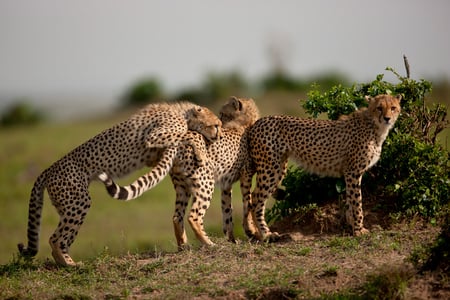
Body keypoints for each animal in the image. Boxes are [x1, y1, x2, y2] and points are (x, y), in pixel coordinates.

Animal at [17, 102, 221, 266]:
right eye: (215, 125)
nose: (217, 136)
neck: (181, 111)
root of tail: (48, 169)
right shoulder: (155, 136)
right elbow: (187, 133)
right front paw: (200, 152)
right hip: (78, 203)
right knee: (54, 239)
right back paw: (69, 264)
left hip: (66, 207)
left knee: (63, 237)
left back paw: (64, 262)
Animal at [98, 96, 260, 248]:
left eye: (222, 113)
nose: (220, 128)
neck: (243, 123)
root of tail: (175, 146)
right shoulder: (245, 175)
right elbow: (248, 202)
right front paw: (252, 231)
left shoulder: (227, 184)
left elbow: (227, 210)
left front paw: (232, 239)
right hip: (205, 182)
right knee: (193, 216)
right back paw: (209, 243)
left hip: (183, 185)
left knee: (177, 216)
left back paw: (183, 246)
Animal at [241, 95, 402, 240]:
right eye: (379, 108)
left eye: (393, 108)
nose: (387, 118)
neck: (374, 126)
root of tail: (257, 123)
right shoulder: (353, 172)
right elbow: (357, 202)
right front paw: (359, 230)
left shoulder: (351, 173)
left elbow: (350, 200)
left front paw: (351, 226)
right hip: (271, 168)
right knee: (256, 198)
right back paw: (266, 234)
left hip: (279, 167)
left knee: (252, 197)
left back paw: (256, 233)